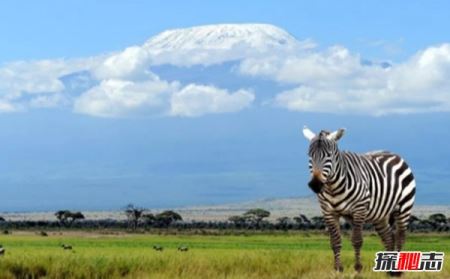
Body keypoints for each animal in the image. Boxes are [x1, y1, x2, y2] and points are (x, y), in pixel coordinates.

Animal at [302, 127, 414, 276]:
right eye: (310, 155)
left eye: (329, 156)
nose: (315, 184)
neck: (333, 188)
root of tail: (395, 155)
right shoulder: (328, 212)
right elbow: (335, 242)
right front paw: (338, 269)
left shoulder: (359, 209)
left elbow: (357, 240)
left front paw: (358, 269)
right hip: (380, 215)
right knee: (389, 237)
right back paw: (388, 270)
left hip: (404, 207)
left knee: (400, 236)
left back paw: (397, 271)